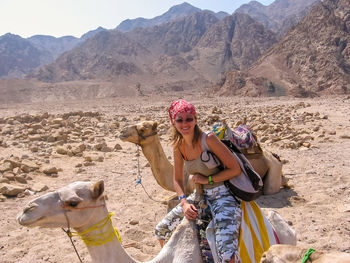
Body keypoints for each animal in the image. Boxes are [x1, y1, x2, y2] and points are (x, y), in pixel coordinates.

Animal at [119, 120, 284, 197]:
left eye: (142, 129)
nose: (122, 132)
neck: (185, 176)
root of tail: (273, 155)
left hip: (273, 169)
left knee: (270, 189)